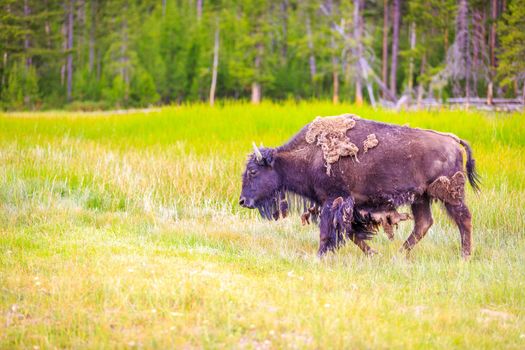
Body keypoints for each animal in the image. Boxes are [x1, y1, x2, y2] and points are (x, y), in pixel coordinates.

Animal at [238, 113, 478, 258]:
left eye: (253, 171)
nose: (242, 201)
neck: (310, 154)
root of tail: (454, 141)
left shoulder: (333, 201)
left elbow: (327, 232)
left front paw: (320, 256)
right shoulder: (348, 207)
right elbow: (352, 234)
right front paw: (373, 253)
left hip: (450, 195)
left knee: (463, 219)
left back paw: (465, 257)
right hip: (420, 197)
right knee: (423, 223)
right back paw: (398, 254)